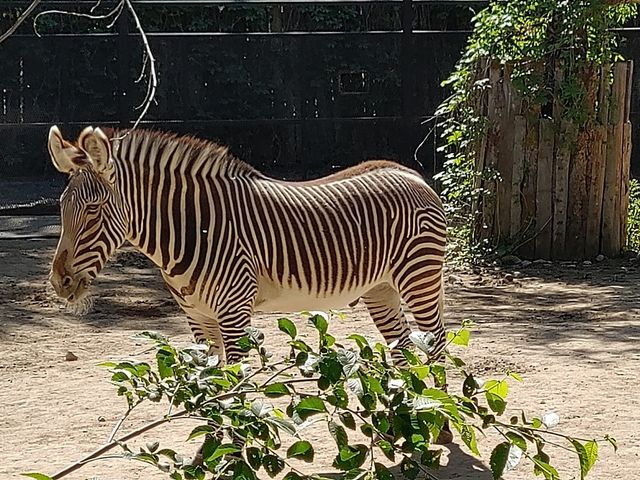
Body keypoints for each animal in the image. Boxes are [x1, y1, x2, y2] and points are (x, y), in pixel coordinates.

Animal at [48, 125, 447, 365]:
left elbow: (233, 386)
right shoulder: (197, 317)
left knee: (437, 341)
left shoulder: (234, 312)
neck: (193, 230)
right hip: (380, 288)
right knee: (403, 346)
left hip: (418, 278)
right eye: (62, 207)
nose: (59, 283)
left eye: (93, 210)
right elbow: (208, 383)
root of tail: (410, 173)